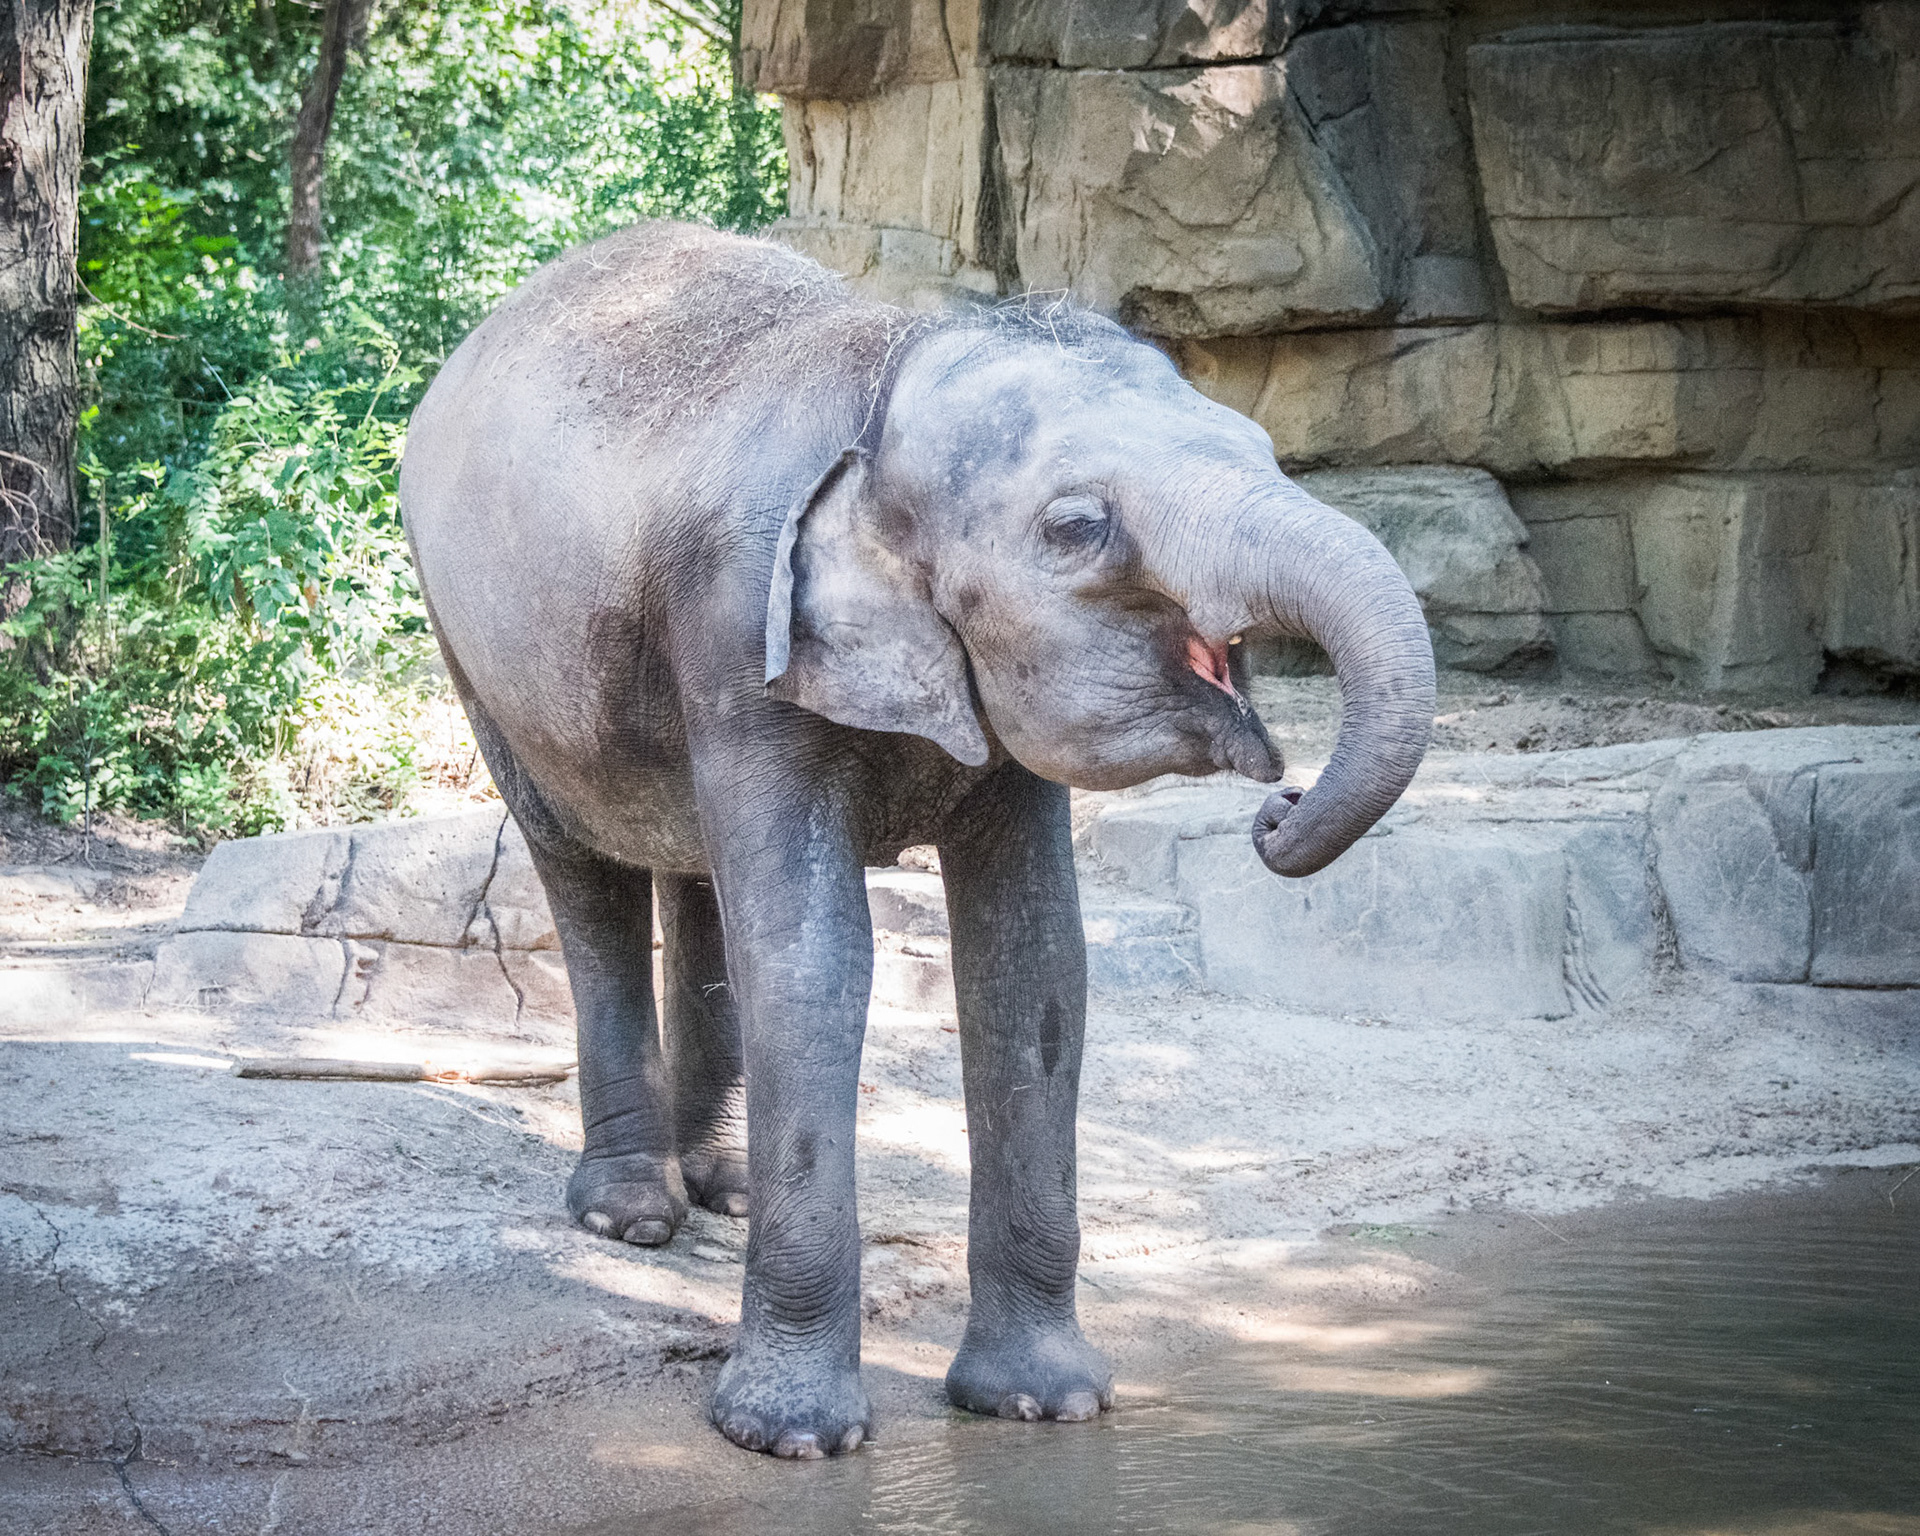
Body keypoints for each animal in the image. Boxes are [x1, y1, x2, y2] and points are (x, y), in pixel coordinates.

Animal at [399, 221, 1434, 1459]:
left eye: (1261, 448)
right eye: (1076, 527)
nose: (1278, 813)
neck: (891, 378)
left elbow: (1034, 967)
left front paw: (1045, 1404)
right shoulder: (741, 630)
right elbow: (816, 961)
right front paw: (790, 1438)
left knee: (698, 878)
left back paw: (722, 1185)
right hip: (478, 655)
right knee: (583, 873)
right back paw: (634, 1217)